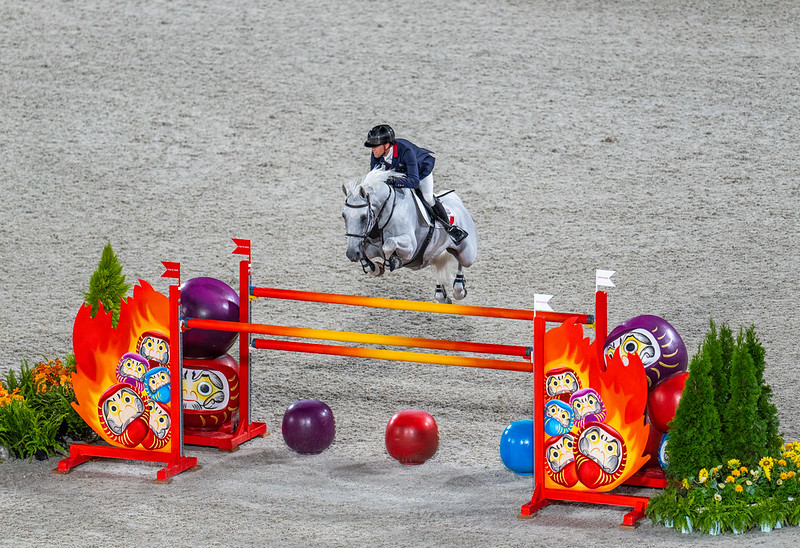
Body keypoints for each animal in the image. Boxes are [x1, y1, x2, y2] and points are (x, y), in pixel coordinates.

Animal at [342, 168, 476, 304]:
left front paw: (392, 262)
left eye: (363, 217)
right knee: (438, 264)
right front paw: (376, 268)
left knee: (461, 263)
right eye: (344, 215)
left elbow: (389, 244)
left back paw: (459, 288)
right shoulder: (371, 247)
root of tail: (457, 202)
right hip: (432, 254)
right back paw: (441, 294)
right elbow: (366, 254)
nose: (351, 254)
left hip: (467, 254)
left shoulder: (410, 247)